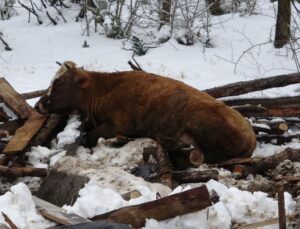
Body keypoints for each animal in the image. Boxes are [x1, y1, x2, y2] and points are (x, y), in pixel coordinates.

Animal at [35, 60, 255, 184]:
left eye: (59, 83)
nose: (39, 105)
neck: (104, 92)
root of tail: (251, 135)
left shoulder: (115, 126)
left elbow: (90, 137)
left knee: (207, 155)